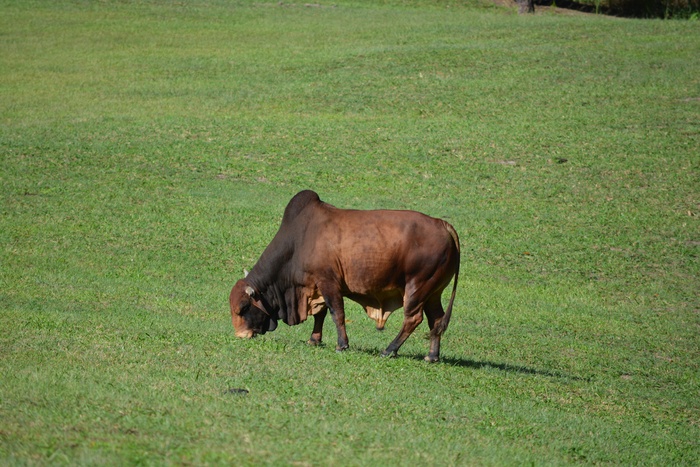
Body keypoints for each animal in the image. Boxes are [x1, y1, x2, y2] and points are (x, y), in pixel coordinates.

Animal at [228, 190, 460, 362]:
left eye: (243, 308)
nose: (240, 335)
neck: (299, 241)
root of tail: (442, 224)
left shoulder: (328, 282)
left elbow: (336, 313)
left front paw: (342, 345)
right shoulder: (316, 286)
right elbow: (321, 314)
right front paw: (314, 339)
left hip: (417, 287)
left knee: (413, 319)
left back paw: (389, 350)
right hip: (433, 292)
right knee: (436, 319)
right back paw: (432, 355)